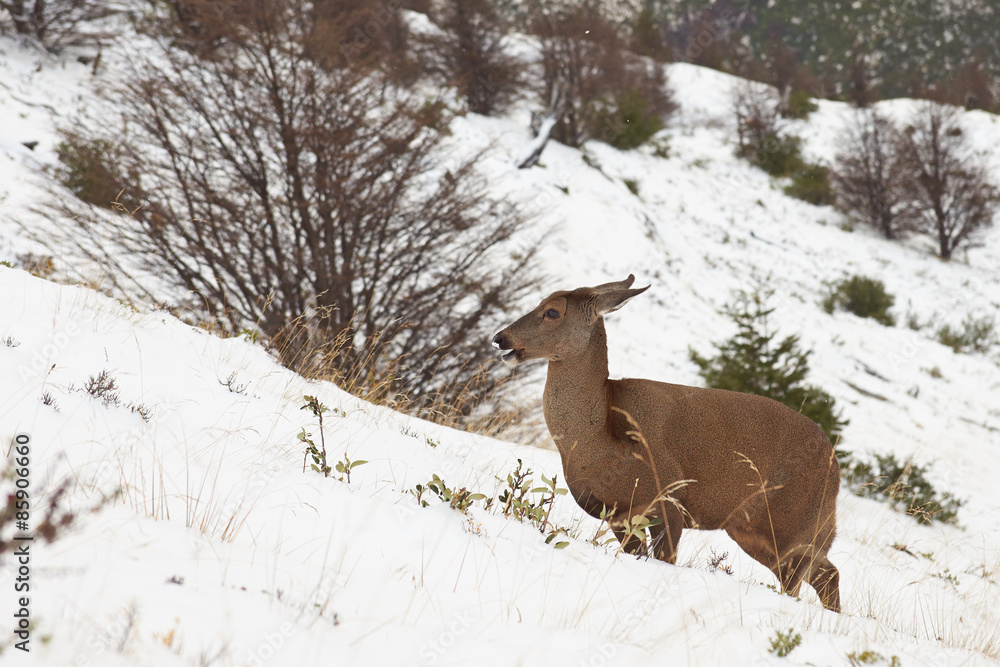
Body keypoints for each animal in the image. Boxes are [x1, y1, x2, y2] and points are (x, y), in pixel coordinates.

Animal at [492, 275, 841, 612]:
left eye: (552, 311)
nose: (500, 338)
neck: (598, 441)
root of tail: (835, 465)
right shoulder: (617, 514)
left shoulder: (670, 497)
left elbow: (665, 560)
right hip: (754, 530)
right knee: (827, 575)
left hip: (795, 525)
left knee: (800, 583)